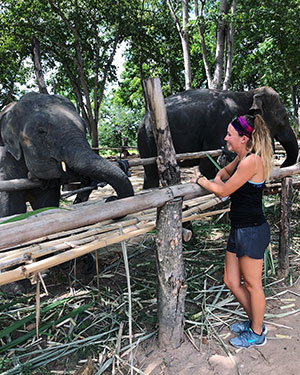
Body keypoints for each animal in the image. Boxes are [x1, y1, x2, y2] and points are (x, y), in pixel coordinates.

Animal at [138, 86, 298, 189]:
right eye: (284, 117)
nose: (282, 168)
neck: (247, 94)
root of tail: (143, 119)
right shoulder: (220, 126)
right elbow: (208, 166)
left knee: (149, 174)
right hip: (147, 139)